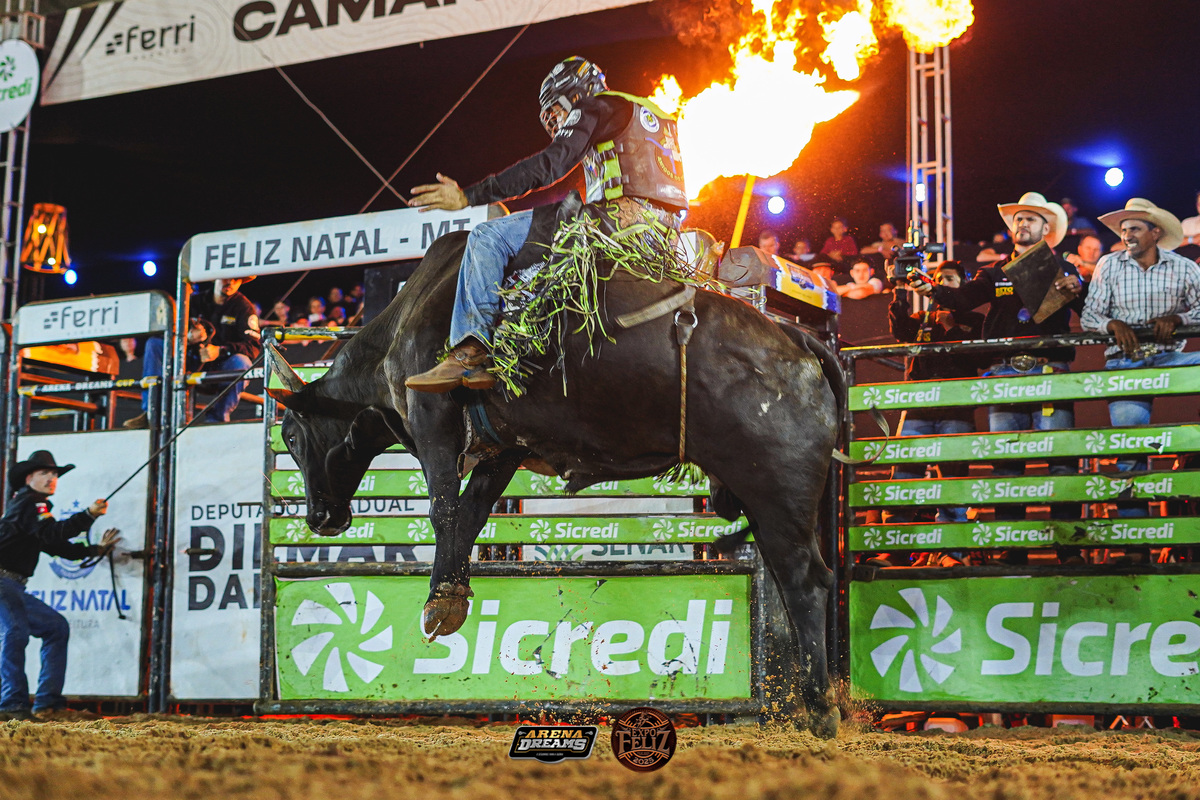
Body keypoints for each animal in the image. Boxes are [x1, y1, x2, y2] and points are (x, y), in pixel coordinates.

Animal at [266, 229, 844, 736]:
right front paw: (452, 597)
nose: (319, 516)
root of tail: (797, 340)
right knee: (792, 583)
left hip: (776, 491)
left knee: (805, 581)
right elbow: (470, 515)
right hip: (768, 503)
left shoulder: (433, 417)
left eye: (291, 434)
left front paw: (440, 600)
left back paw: (819, 708)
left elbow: (443, 509)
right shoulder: (505, 449)